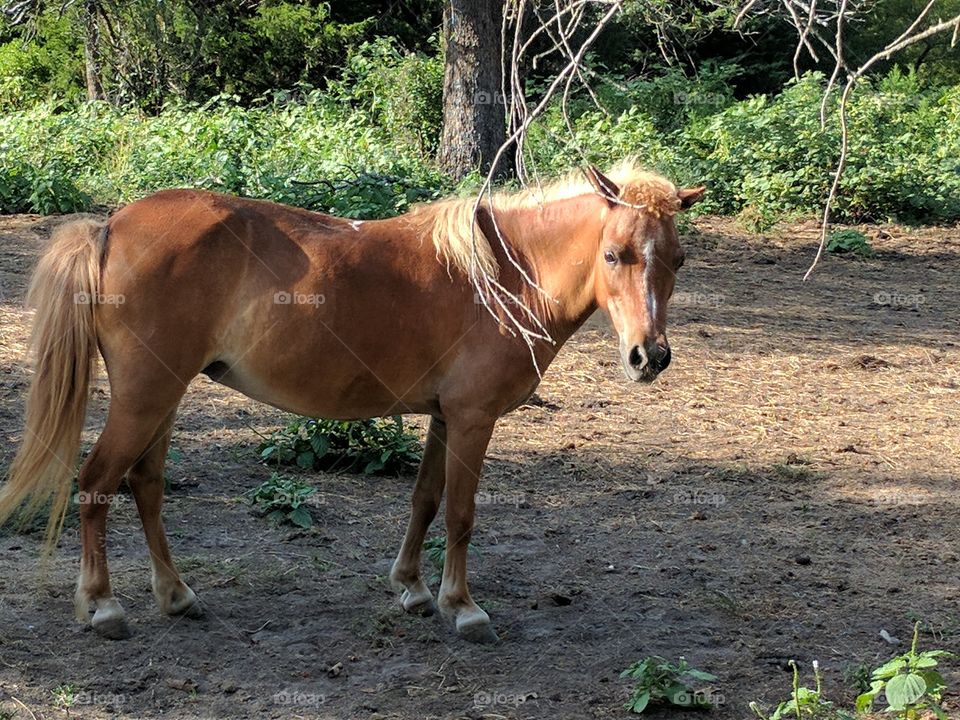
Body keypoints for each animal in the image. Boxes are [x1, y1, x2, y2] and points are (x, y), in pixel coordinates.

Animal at [0, 162, 704, 640]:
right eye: (612, 253)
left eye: (677, 258)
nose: (649, 357)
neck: (505, 275)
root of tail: (110, 227)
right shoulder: (473, 420)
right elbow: (461, 513)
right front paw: (463, 608)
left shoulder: (445, 418)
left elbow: (425, 500)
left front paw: (413, 590)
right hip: (146, 398)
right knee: (96, 483)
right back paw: (104, 606)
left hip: (163, 399)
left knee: (145, 486)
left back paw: (176, 595)